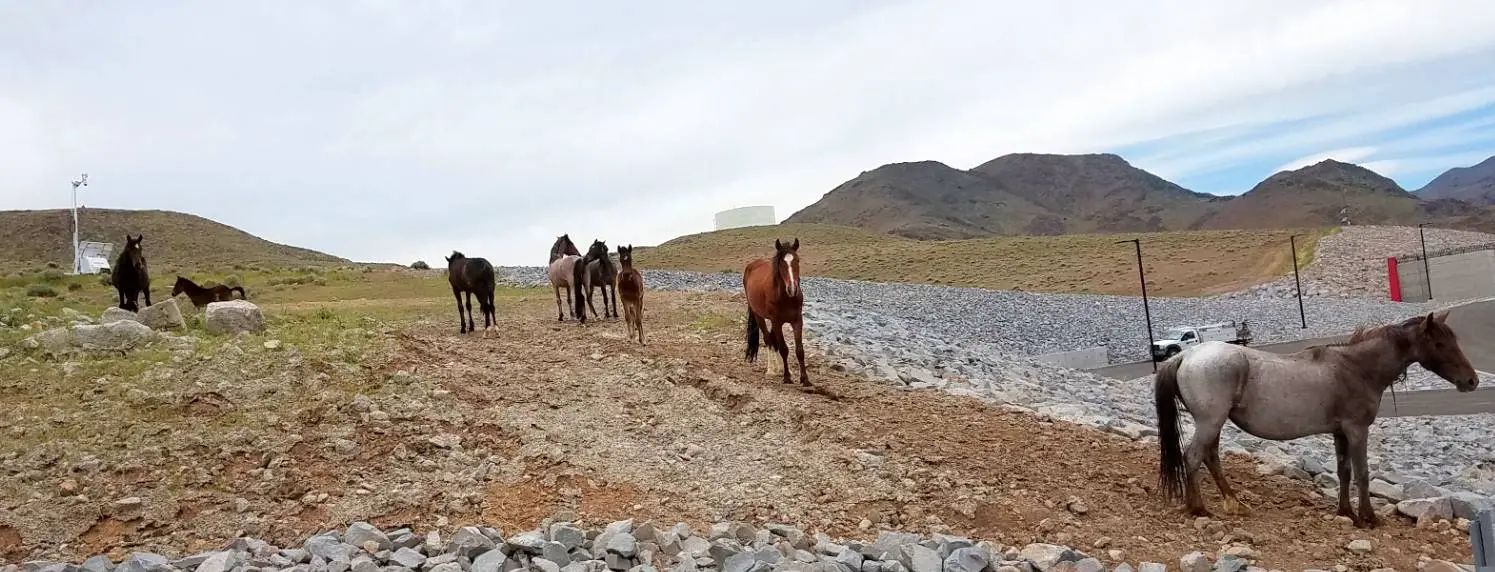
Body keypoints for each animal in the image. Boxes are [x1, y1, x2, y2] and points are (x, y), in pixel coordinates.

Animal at [743, 238, 808, 386]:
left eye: (797, 260)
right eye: (781, 263)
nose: (792, 289)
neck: (786, 297)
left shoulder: (797, 321)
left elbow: (799, 350)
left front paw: (805, 379)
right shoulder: (777, 321)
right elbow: (784, 348)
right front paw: (787, 377)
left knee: (773, 339)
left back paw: (778, 368)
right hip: (759, 316)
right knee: (768, 339)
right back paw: (772, 369)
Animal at [1153, 310, 1478, 528]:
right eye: (1440, 344)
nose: (1472, 381)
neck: (1356, 367)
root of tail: (1186, 356)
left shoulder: (1340, 432)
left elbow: (1344, 471)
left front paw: (1346, 512)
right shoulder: (1357, 430)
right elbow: (1362, 473)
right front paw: (1368, 517)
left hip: (1214, 424)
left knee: (1211, 457)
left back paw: (1234, 502)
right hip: (1210, 422)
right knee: (1193, 456)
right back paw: (1198, 508)